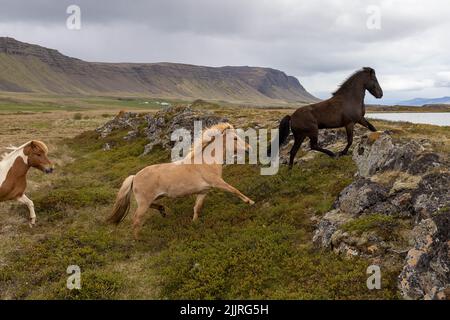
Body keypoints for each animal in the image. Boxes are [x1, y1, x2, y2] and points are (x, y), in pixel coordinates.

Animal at [107, 122, 255, 238]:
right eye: (235, 138)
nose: (250, 149)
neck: (206, 162)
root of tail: (134, 176)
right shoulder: (217, 182)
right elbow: (234, 190)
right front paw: (250, 202)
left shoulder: (203, 191)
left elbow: (197, 208)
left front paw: (194, 223)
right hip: (144, 203)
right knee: (136, 220)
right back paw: (138, 240)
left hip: (151, 199)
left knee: (152, 206)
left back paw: (162, 210)